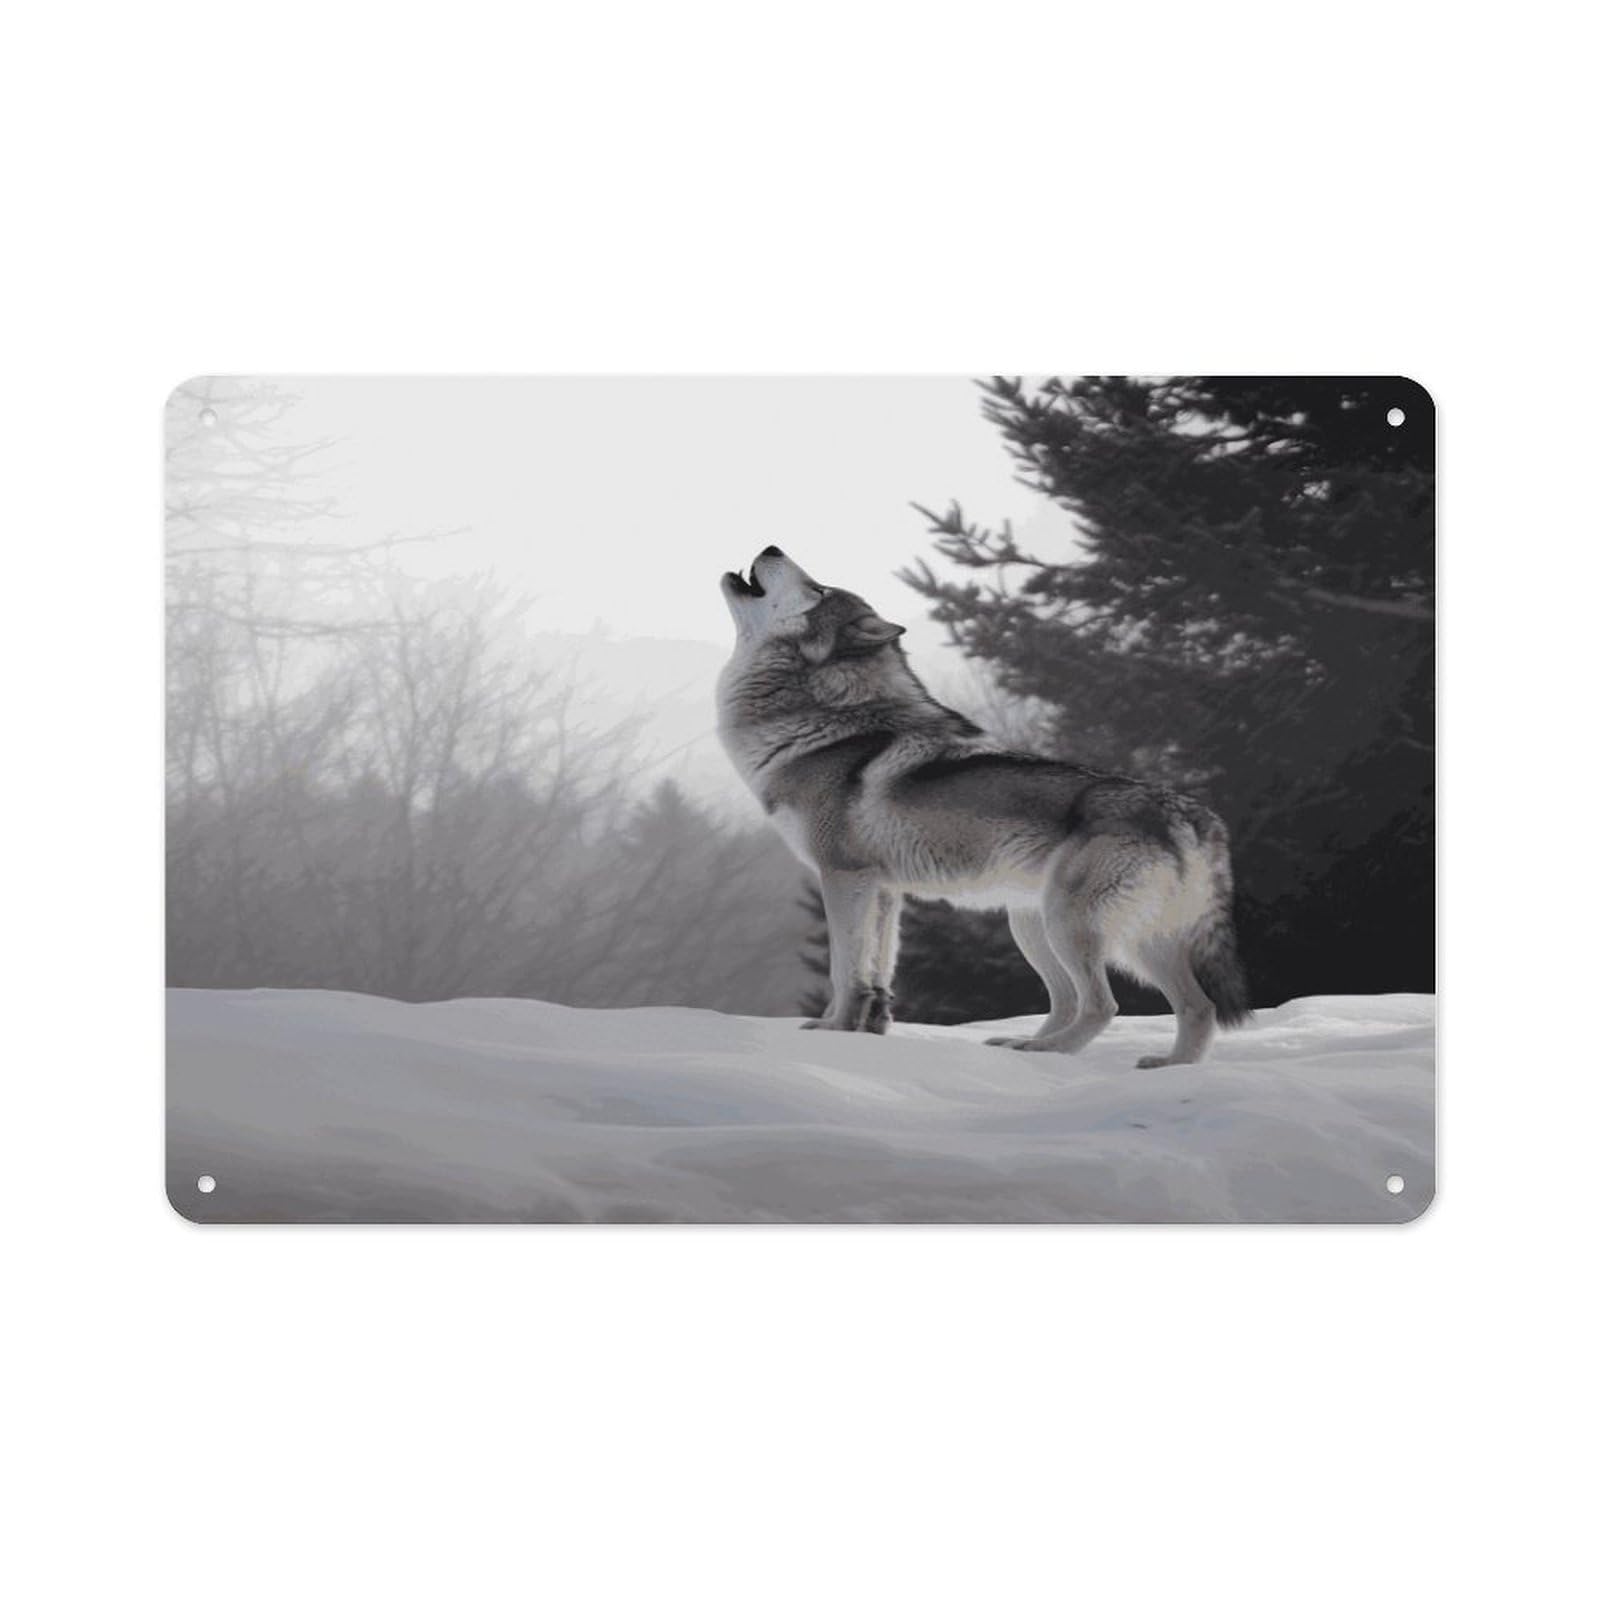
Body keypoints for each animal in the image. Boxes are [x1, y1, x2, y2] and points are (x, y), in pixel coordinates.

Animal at [716, 547, 1252, 1067]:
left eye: (818, 589)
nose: (771, 546)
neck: (827, 719)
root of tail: (1192, 813)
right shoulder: (884, 889)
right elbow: (878, 971)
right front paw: (868, 1031)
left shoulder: (844, 877)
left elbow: (845, 967)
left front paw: (832, 1031)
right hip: (1059, 929)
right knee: (1187, 1007)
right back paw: (1157, 1065)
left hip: (1069, 925)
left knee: (1102, 1004)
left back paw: (1046, 1053)